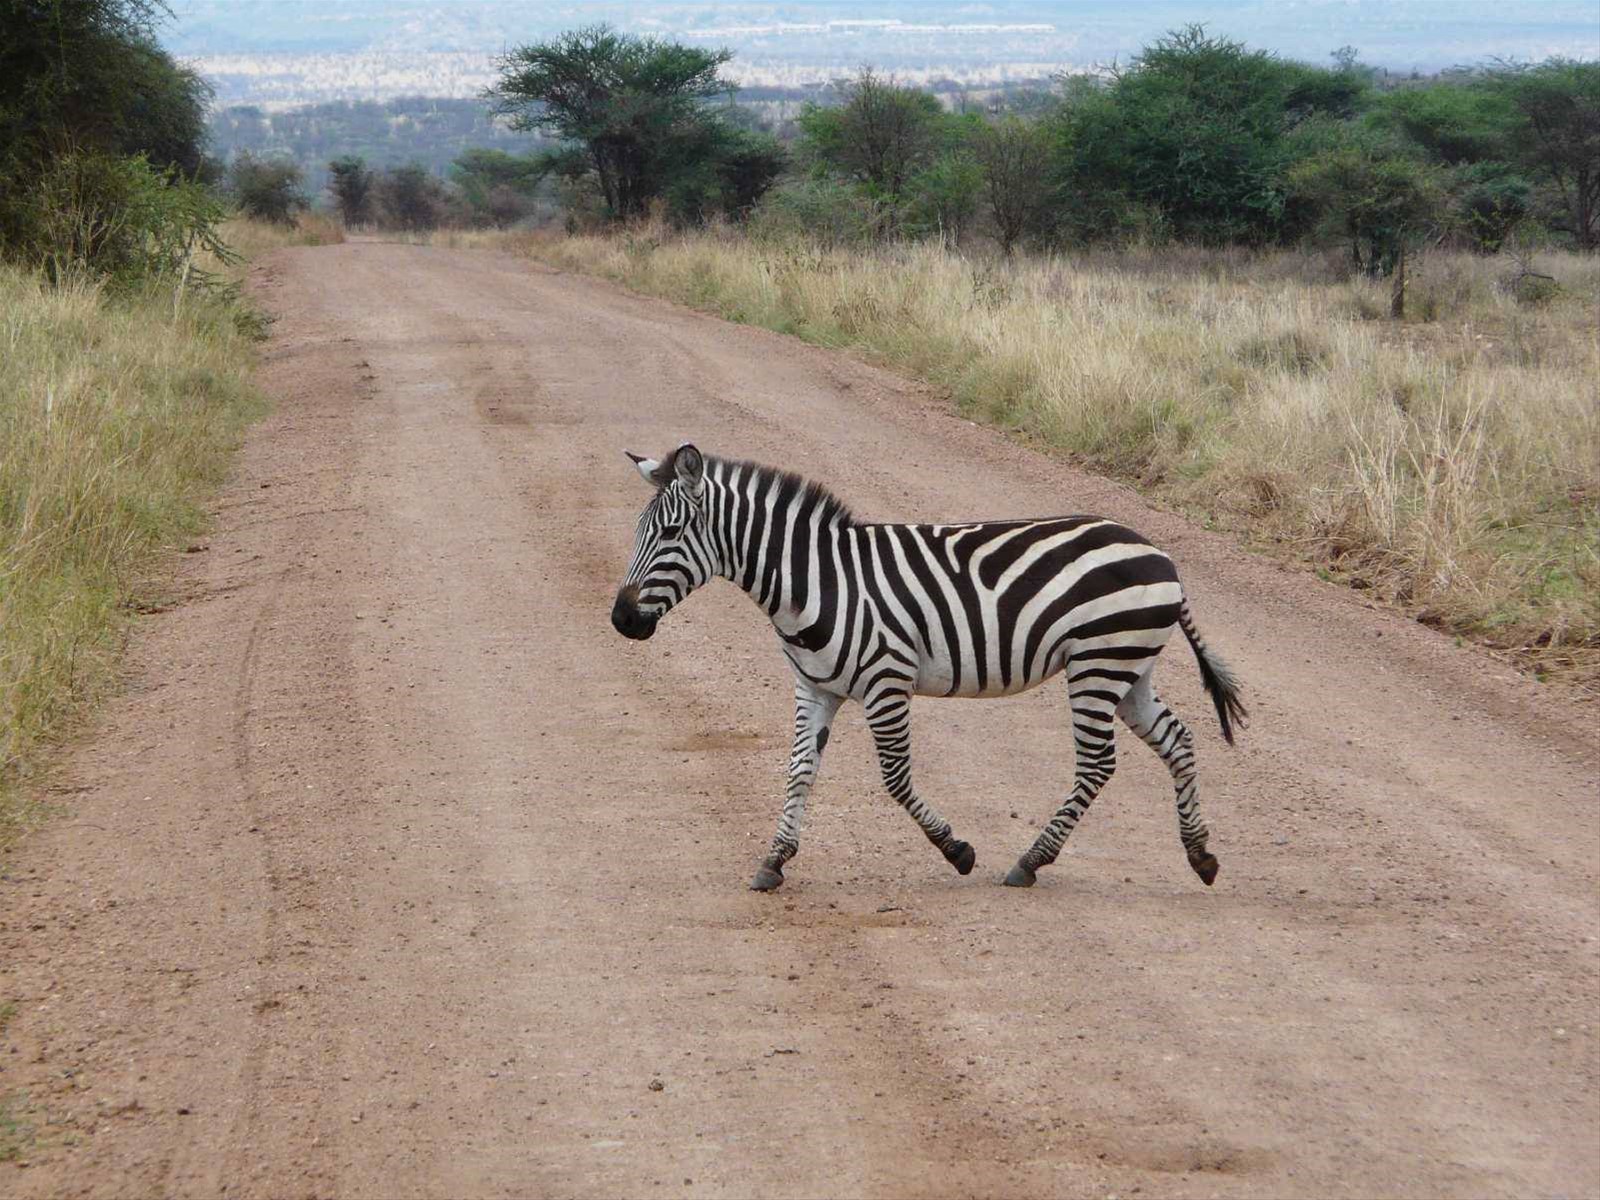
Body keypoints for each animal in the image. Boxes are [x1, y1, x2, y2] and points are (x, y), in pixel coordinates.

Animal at [610, 443, 1246, 892]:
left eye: (670, 532)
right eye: (639, 532)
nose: (621, 619)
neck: (818, 584)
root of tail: (1159, 554)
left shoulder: (886, 681)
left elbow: (894, 778)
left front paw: (957, 851)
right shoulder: (815, 687)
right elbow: (798, 771)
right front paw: (774, 859)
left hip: (1098, 663)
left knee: (1097, 764)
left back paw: (1030, 861)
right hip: (1127, 669)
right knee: (1179, 740)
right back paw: (1201, 857)